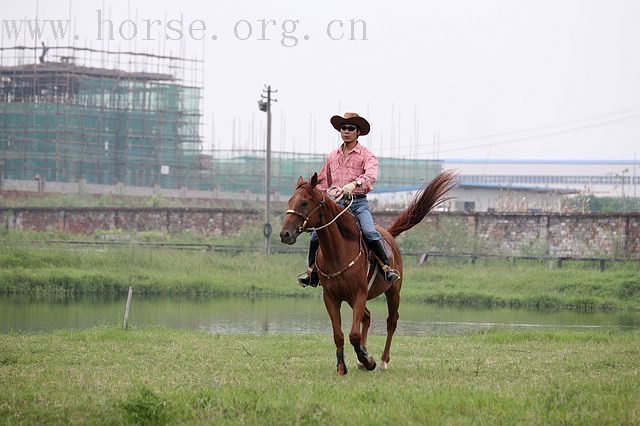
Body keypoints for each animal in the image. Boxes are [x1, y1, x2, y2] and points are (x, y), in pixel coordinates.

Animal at [278, 170, 456, 376]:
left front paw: (368, 360)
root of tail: (388, 234)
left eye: (305, 202)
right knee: (368, 317)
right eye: (290, 200)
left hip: (393, 292)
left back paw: (383, 360)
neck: (337, 252)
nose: (285, 234)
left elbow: (354, 334)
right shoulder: (331, 298)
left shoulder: (359, 294)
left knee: (391, 322)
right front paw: (342, 367)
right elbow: (338, 335)